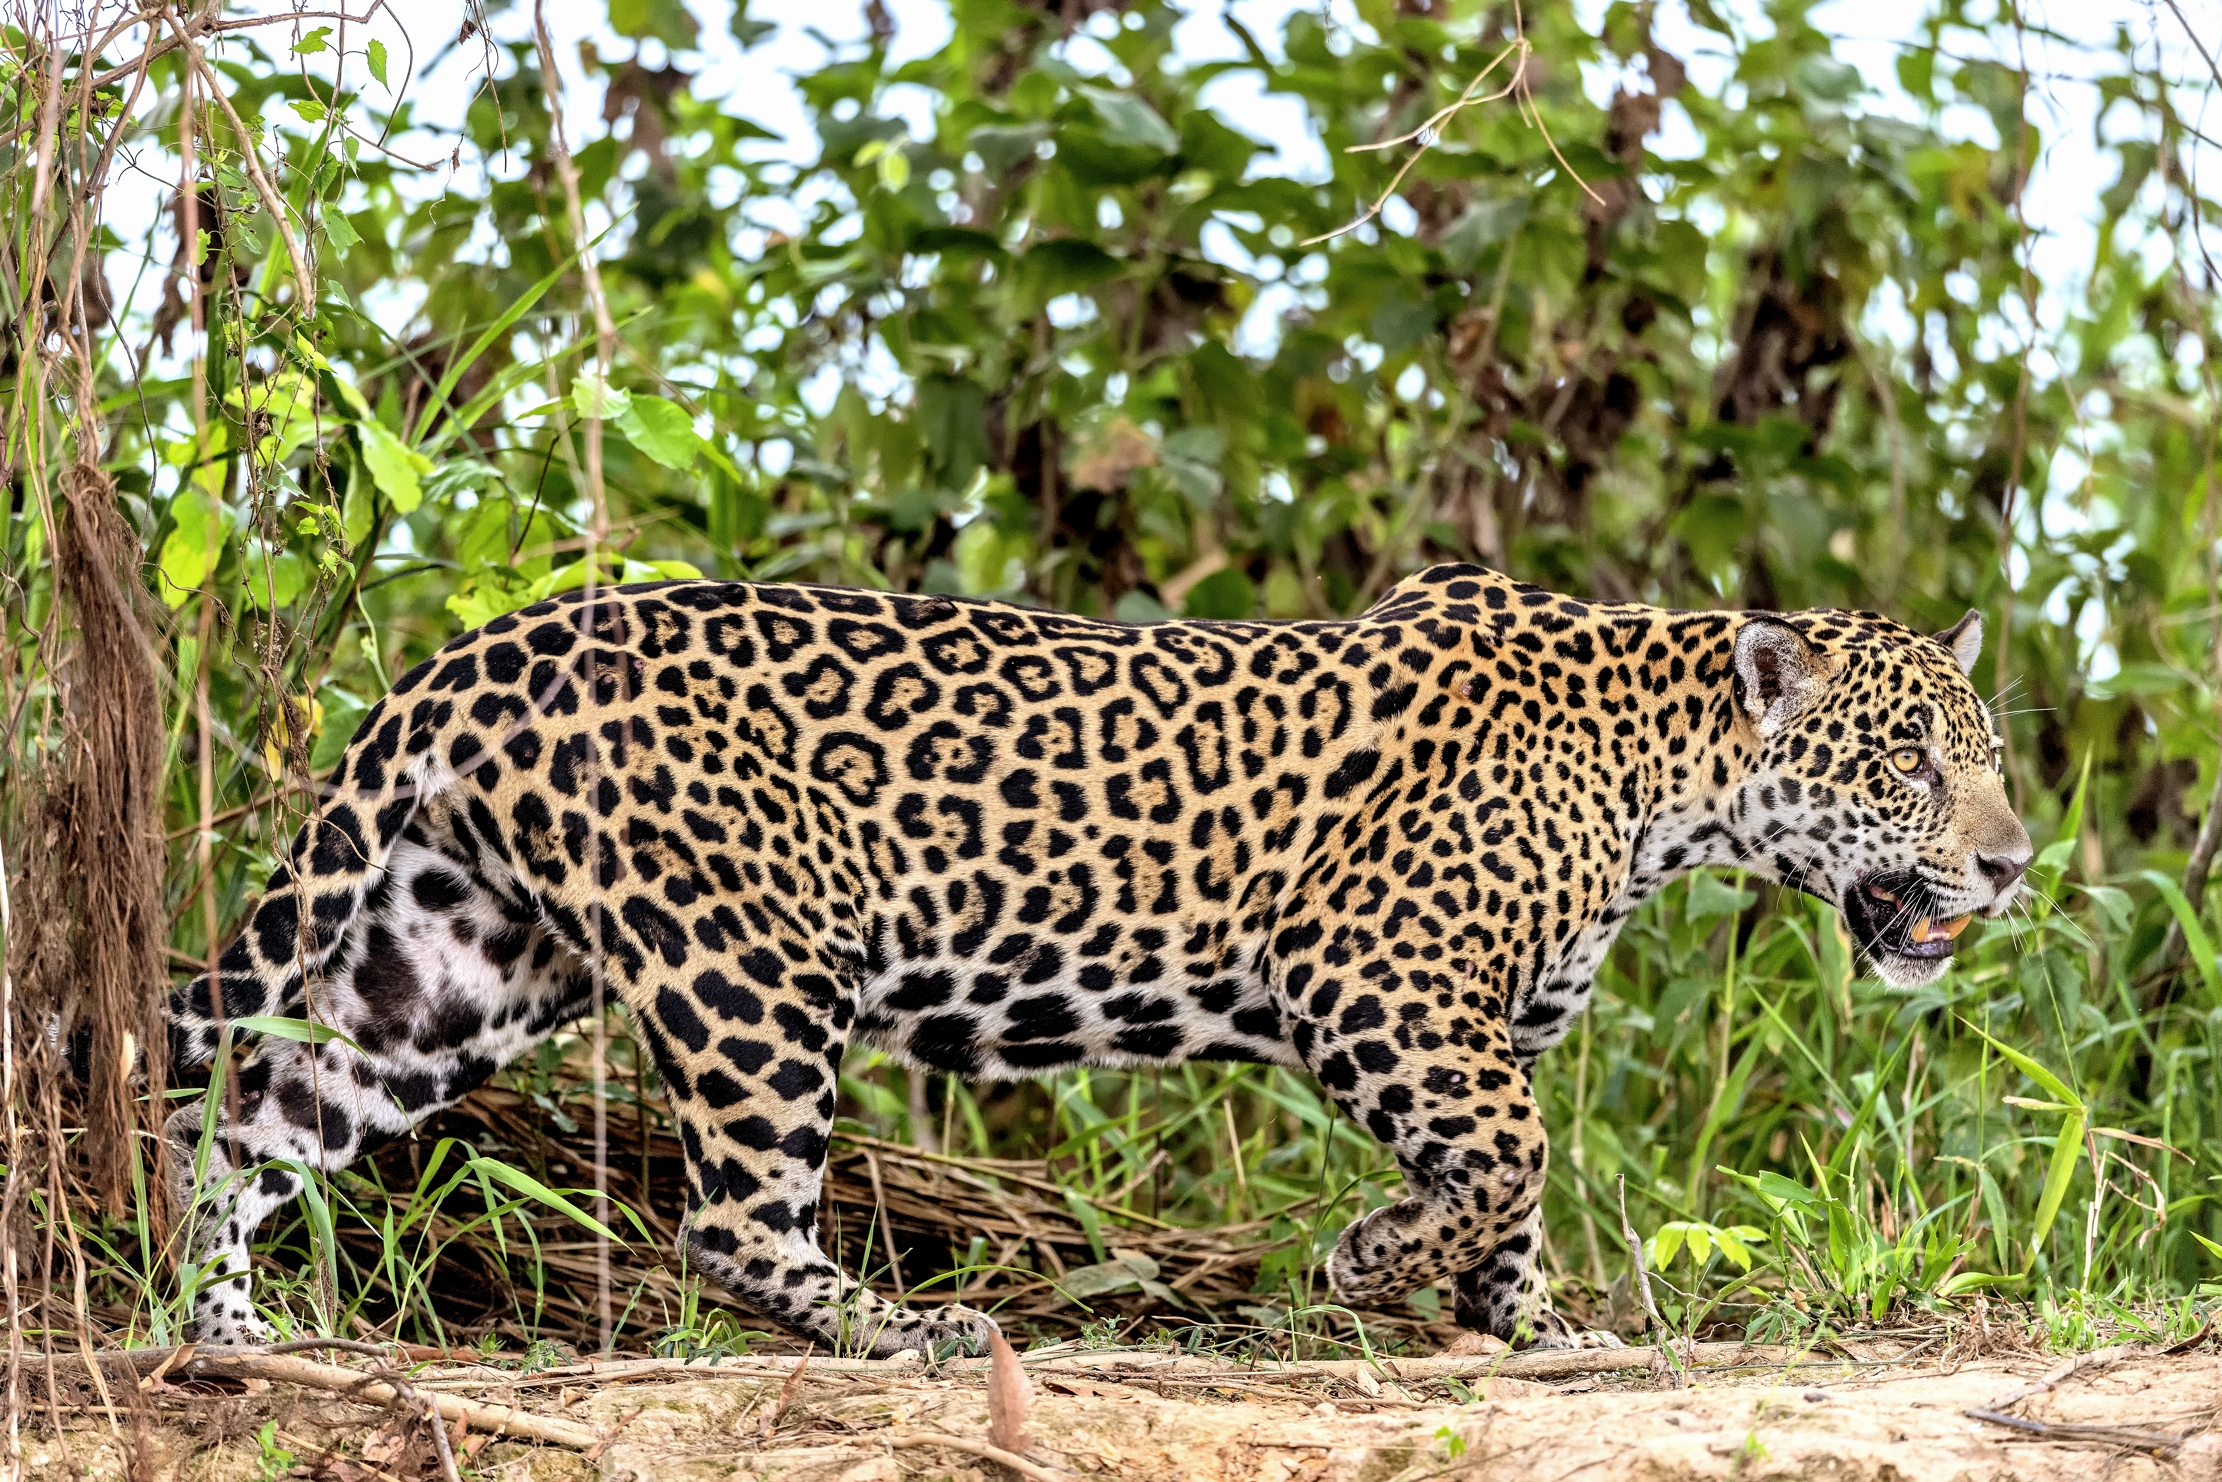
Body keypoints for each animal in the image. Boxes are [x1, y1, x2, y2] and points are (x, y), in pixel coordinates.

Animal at [160, 562, 2031, 1355]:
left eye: (1990, 753)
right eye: (1908, 762)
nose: (2012, 863)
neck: (1662, 776)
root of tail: (494, 640)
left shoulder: (1476, 1014)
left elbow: (1509, 1176)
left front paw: (1529, 1325)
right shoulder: (1368, 976)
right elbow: (1512, 1147)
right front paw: (1366, 1266)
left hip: (458, 955)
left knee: (252, 1104)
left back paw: (223, 1320)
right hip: (756, 963)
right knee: (727, 1220)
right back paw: (901, 1331)